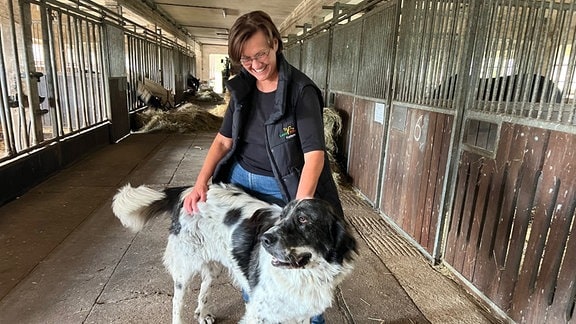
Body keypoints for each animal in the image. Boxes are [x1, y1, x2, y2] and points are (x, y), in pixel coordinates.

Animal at [112, 184, 356, 322]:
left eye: (304, 219)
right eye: (283, 216)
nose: (264, 239)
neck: (306, 275)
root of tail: (190, 191)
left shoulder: (300, 315)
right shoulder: (258, 314)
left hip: (213, 267)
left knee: (203, 291)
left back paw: (203, 314)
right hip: (184, 269)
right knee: (176, 304)